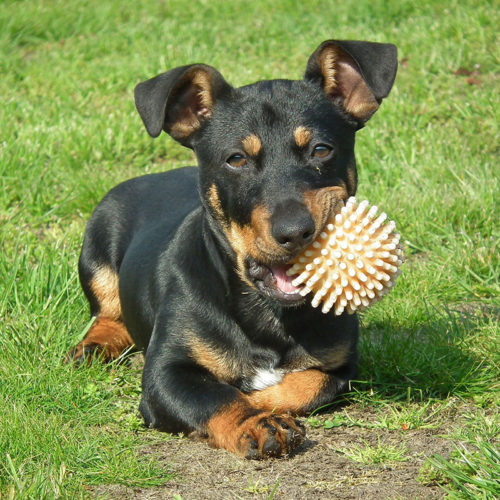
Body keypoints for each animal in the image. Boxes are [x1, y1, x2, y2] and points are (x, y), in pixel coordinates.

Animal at [71, 41, 398, 458]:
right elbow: (216, 397)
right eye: (236, 159)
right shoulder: (166, 373)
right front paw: (255, 423)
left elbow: (301, 385)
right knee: (107, 313)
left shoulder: (340, 366)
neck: (270, 314)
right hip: (96, 246)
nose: (294, 232)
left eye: (322, 150)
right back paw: (94, 346)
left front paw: (261, 402)